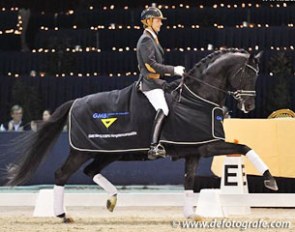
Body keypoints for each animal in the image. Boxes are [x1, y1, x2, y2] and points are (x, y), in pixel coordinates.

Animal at [4, 48, 278, 222]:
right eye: (247, 73)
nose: (249, 106)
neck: (197, 98)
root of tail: (76, 102)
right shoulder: (209, 145)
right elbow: (245, 147)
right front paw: (270, 180)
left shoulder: (194, 150)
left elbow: (189, 181)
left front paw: (191, 214)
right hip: (82, 151)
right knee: (61, 174)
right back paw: (62, 215)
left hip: (108, 153)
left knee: (91, 171)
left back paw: (112, 199)